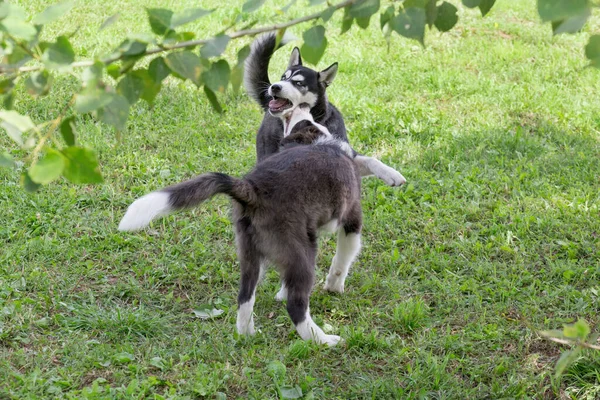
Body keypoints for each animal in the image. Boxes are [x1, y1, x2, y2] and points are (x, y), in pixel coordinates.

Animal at [117, 119, 360, 346]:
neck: (321, 143)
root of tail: (252, 188)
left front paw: (281, 293)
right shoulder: (352, 218)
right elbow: (344, 257)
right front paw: (335, 286)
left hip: (250, 250)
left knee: (244, 297)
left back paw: (247, 334)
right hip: (301, 251)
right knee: (296, 305)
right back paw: (323, 340)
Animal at [245, 32, 408, 187]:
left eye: (298, 83)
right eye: (283, 77)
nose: (274, 86)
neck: (316, 120)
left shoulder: (347, 153)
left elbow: (371, 160)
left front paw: (391, 173)